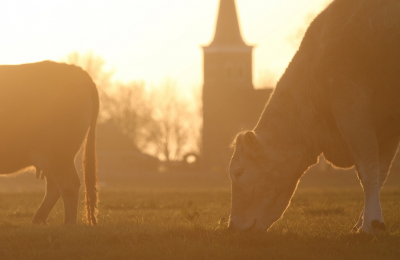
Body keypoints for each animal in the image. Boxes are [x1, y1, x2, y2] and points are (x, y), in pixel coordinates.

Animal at [0, 60, 99, 224]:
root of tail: (79, 71)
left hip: (60, 153)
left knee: (68, 185)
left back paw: (67, 224)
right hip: (53, 158)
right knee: (55, 187)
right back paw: (38, 220)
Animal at [228, 0, 400, 234]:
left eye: (237, 172)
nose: (232, 227)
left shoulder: (352, 107)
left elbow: (368, 171)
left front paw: (371, 223)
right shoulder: (387, 126)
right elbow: (380, 173)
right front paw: (363, 221)